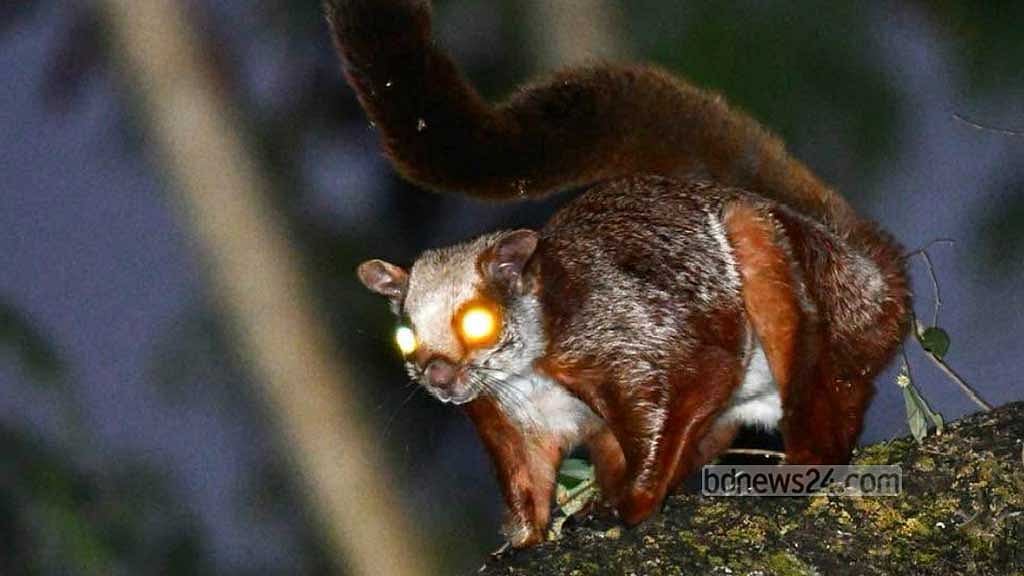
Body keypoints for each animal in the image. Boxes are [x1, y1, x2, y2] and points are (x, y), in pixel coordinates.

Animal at [326, 0, 909, 547]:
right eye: (404, 336)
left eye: (478, 323)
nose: (438, 377)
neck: (526, 372)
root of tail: (879, 274)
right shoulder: (507, 417)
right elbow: (527, 481)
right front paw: (524, 538)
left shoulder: (620, 335)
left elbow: (697, 379)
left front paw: (632, 502)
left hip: (816, 291)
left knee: (835, 392)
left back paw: (807, 457)